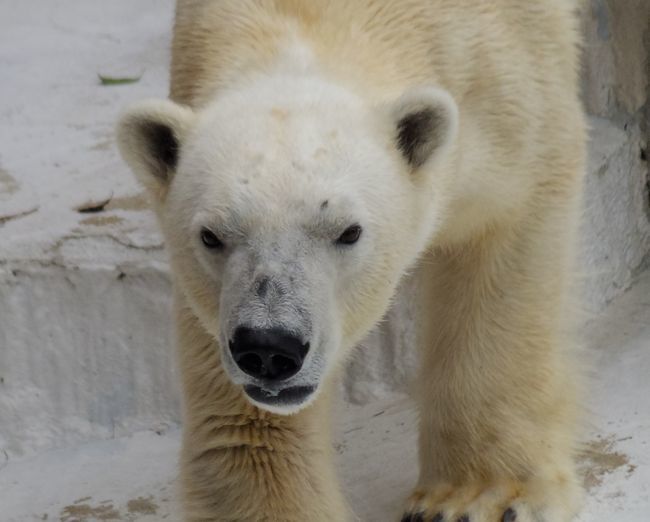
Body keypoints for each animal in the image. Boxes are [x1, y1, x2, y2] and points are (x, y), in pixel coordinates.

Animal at [117, 1, 588, 520]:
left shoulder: (512, 81)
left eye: (349, 231)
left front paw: (473, 497)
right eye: (211, 236)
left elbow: (506, 234)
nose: (269, 348)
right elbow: (249, 424)